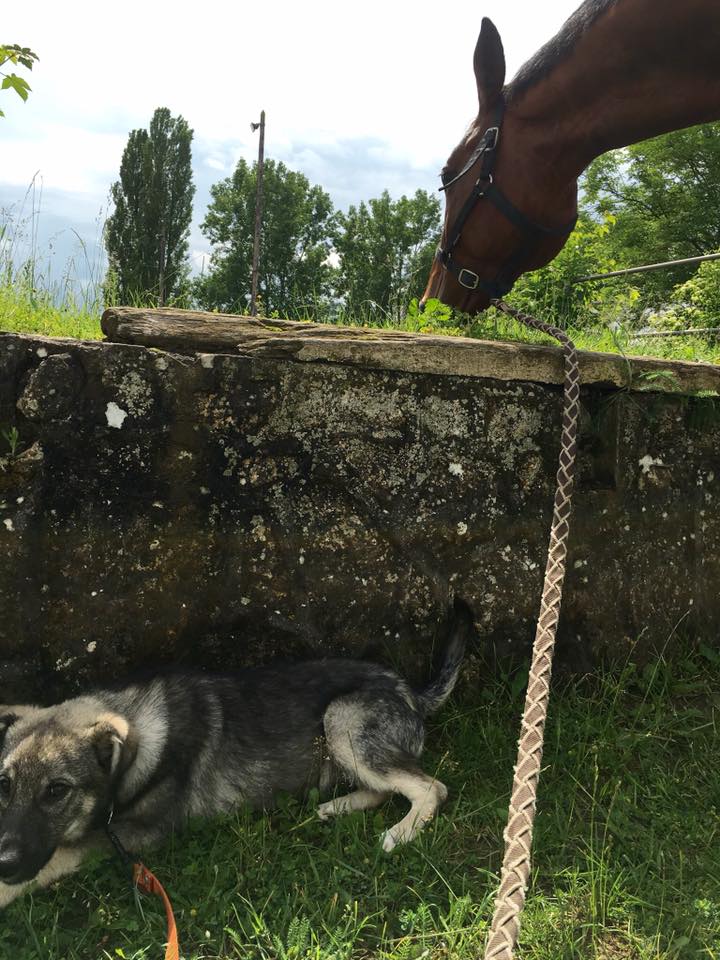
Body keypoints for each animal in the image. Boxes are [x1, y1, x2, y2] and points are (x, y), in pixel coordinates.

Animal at [0, 600, 472, 908]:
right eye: (3, 785)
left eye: (57, 790)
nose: (4, 862)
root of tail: (412, 692)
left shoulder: (135, 835)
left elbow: (58, 856)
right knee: (382, 788)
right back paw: (338, 805)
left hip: (342, 719)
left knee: (430, 787)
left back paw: (400, 832)